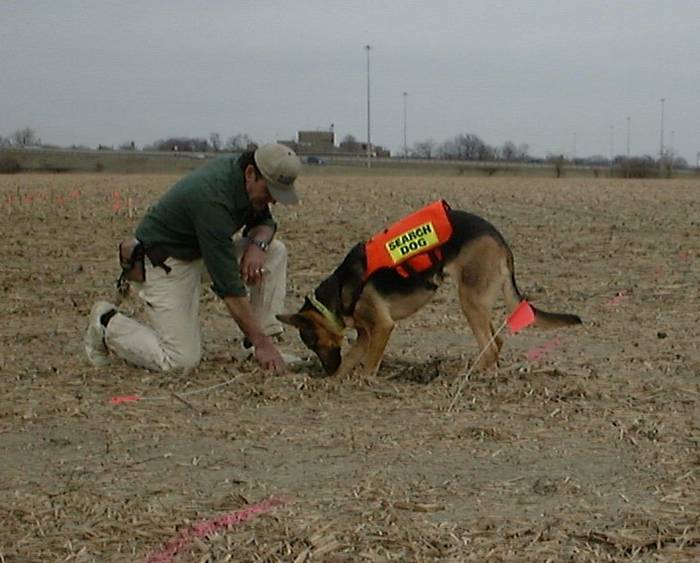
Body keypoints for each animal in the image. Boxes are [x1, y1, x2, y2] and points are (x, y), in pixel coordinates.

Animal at [276, 203, 584, 378]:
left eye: (312, 342)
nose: (324, 369)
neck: (337, 292)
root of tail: (500, 239)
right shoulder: (365, 334)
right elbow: (351, 360)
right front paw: (332, 382)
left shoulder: (382, 327)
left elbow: (368, 366)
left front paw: (364, 383)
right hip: (478, 302)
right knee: (496, 343)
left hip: (470, 300)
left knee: (490, 348)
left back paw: (466, 376)